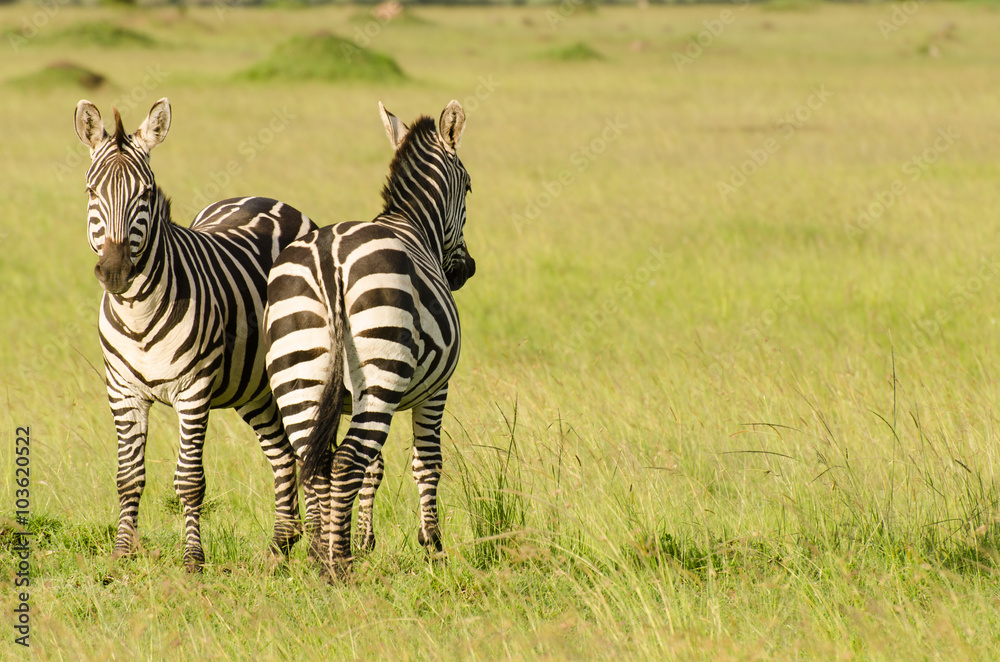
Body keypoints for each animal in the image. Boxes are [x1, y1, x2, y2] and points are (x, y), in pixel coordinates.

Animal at [74, 97, 317, 572]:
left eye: (146, 194)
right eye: (93, 193)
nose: (115, 273)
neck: (138, 313)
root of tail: (269, 199)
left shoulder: (194, 391)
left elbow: (189, 480)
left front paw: (192, 559)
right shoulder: (122, 391)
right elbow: (128, 477)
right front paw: (122, 553)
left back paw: (318, 542)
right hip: (254, 388)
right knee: (282, 454)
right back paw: (281, 544)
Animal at [264, 100, 476, 576]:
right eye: (470, 188)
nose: (465, 271)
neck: (412, 225)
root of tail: (329, 256)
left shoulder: (344, 400)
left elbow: (373, 469)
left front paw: (363, 540)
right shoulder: (436, 388)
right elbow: (426, 462)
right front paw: (433, 546)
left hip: (297, 371)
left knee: (316, 462)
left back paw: (320, 553)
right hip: (381, 369)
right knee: (345, 461)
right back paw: (338, 564)